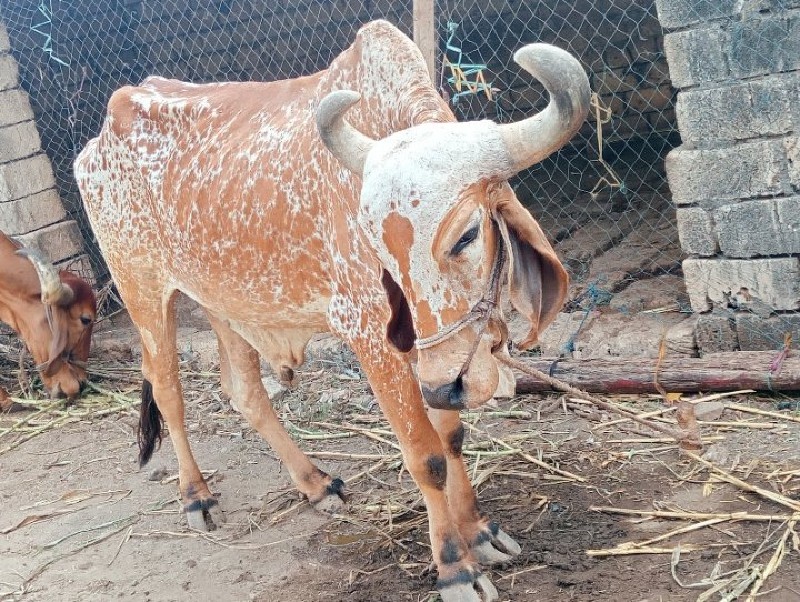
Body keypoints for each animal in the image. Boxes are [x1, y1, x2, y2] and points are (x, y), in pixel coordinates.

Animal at [75, 20, 589, 601]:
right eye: (376, 247)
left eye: (467, 235)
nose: (449, 383)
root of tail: (102, 133)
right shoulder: (374, 339)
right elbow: (426, 455)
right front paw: (456, 567)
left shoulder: (433, 358)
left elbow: (452, 435)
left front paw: (479, 531)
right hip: (143, 289)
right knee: (168, 392)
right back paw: (195, 495)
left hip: (223, 300)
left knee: (245, 392)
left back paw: (315, 484)